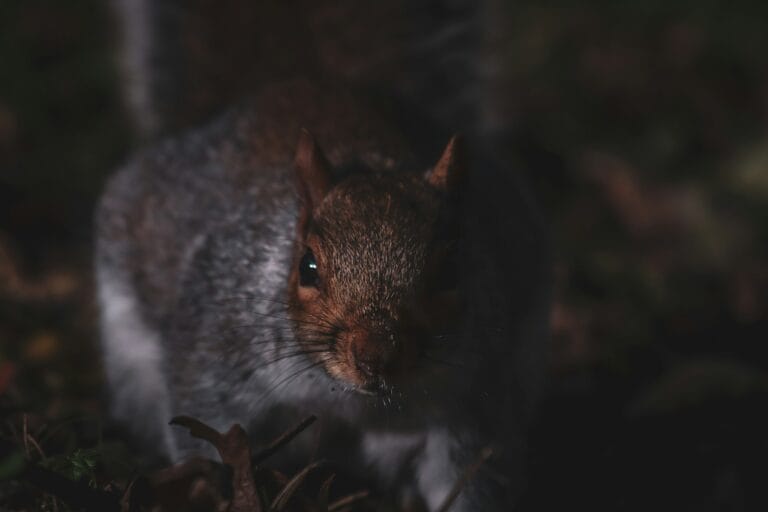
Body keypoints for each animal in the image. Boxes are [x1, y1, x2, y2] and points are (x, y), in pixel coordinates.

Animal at [98, 2, 550, 510]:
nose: (376, 355)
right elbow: (204, 417)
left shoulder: (476, 398)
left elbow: (470, 477)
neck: (352, 397)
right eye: (307, 267)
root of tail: (301, 79)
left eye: (451, 272)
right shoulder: (216, 344)